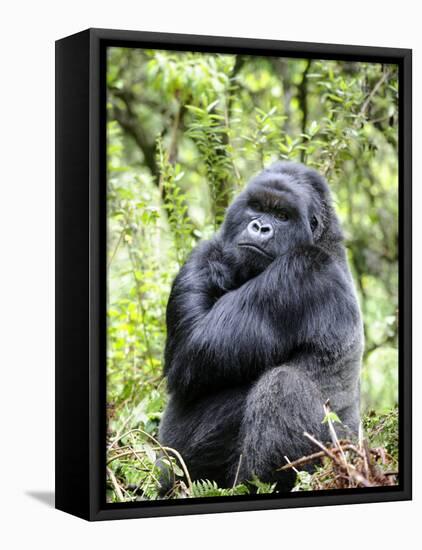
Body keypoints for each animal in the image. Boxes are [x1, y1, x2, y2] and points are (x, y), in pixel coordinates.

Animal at [158, 162, 362, 494]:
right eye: (256, 207)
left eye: (282, 216)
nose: (259, 227)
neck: (322, 239)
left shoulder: (301, 270)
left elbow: (192, 350)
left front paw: (216, 261)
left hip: (337, 459)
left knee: (283, 385)